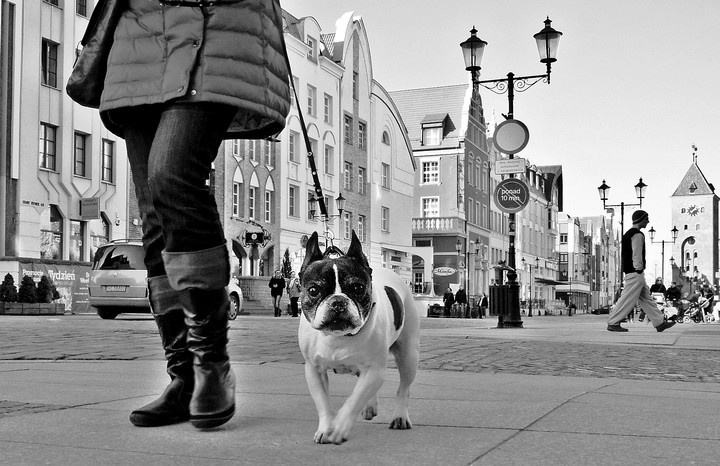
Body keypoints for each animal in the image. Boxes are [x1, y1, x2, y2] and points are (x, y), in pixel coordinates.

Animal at [298, 232, 422, 444]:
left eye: (357, 287)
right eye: (313, 290)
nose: (338, 302)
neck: (339, 336)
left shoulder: (374, 370)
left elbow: (353, 401)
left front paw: (339, 427)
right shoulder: (314, 370)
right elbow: (323, 402)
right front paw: (326, 428)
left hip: (408, 356)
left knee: (403, 388)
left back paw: (400, 417)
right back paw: (370, 407)